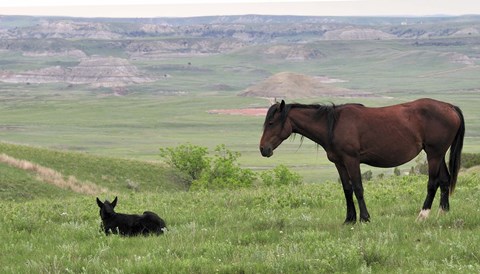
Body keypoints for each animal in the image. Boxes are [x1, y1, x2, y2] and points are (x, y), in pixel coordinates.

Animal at [260, 98, 464, 223]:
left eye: (271, 123)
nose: (263, 149)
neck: (333, 125)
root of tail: (450, 107)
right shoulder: (339, 163)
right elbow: (347, 189)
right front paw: (349, 219)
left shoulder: (352, 160)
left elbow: (358, 188)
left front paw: (364, 218)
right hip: (438, 154)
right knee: (445, 181)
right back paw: (443, 213)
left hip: (434, 154)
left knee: (433, 183)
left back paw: (423, 215)